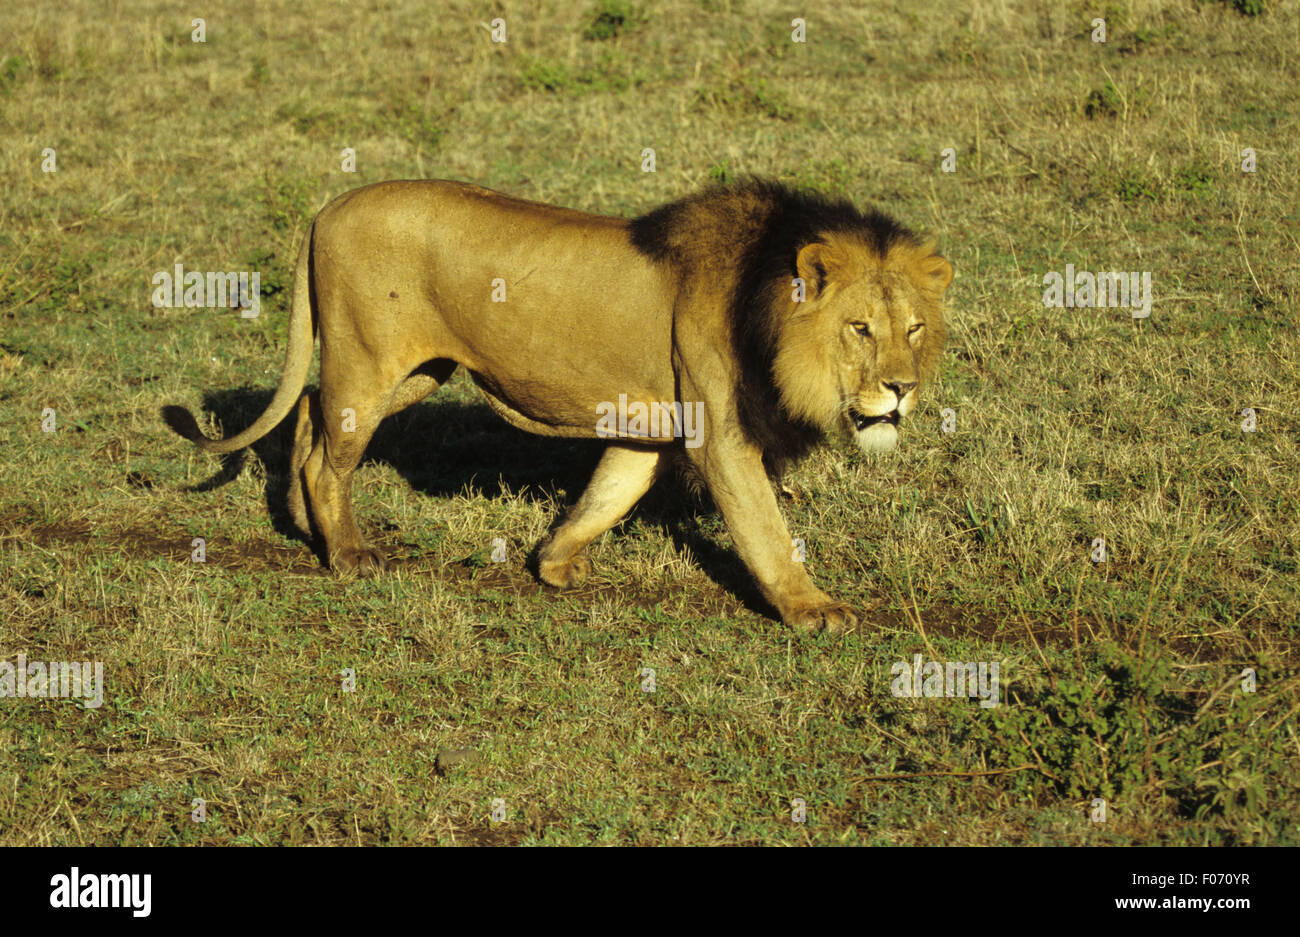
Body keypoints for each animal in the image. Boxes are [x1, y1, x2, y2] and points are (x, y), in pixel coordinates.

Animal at [165, 176, 956, 628]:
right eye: (860, 328)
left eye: (914, 328)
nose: (902, 388)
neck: (764, 307)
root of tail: (326, 208)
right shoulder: (720, 434)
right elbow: (765, 527)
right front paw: (811, 609)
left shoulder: (651, 425)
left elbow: (608, 493)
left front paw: (553, 564)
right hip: (370, 362)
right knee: (329, 455)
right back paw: (350, 554)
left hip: (415, 372)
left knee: (306, 416)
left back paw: (307, 531)